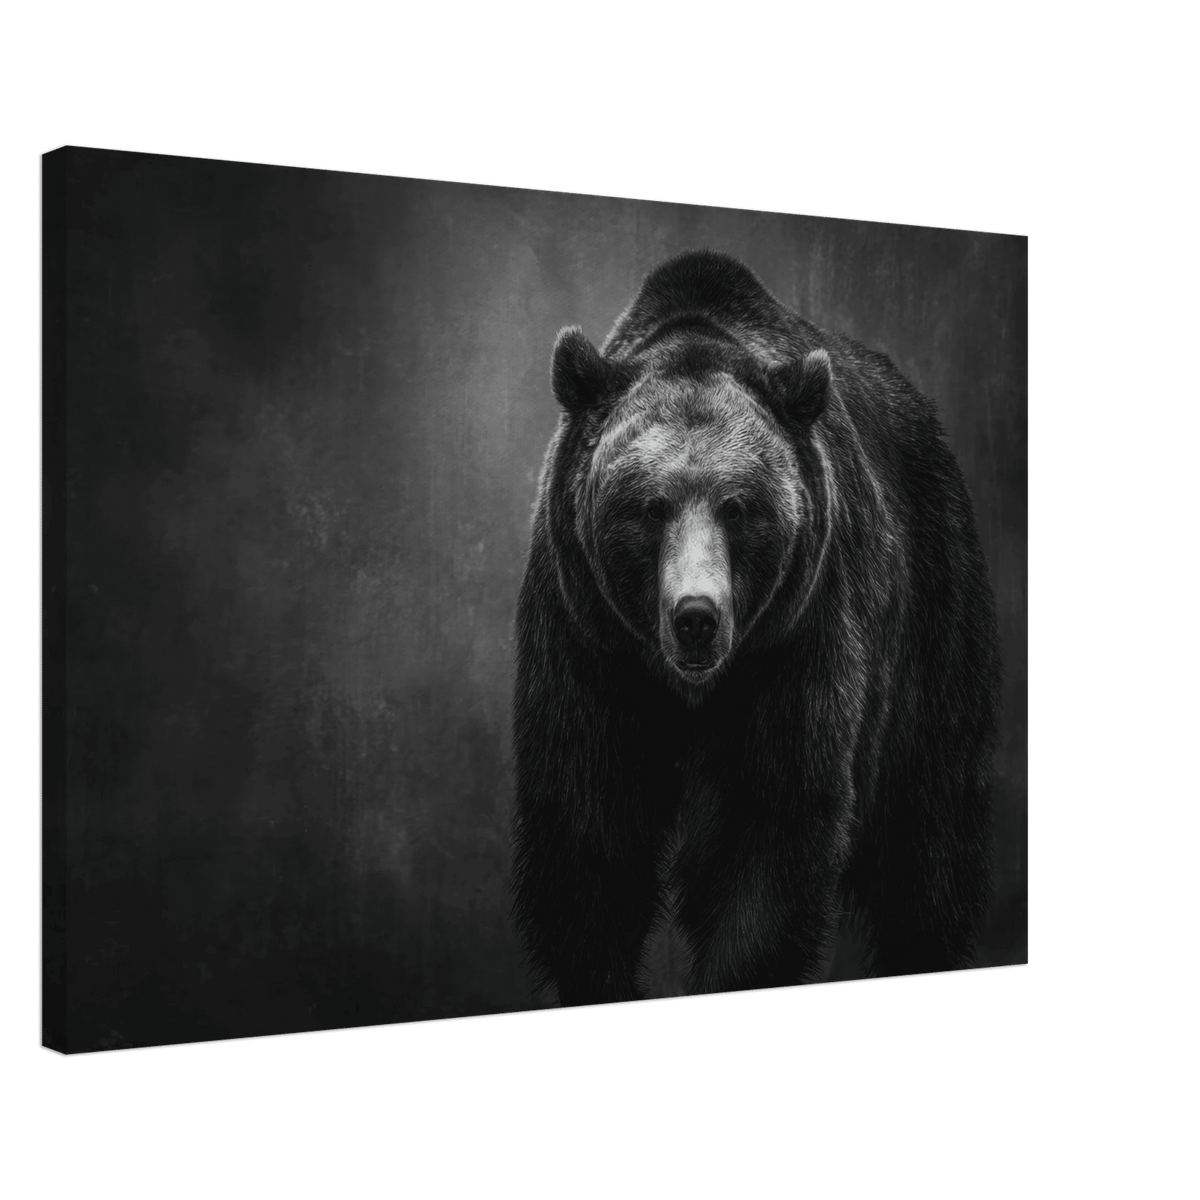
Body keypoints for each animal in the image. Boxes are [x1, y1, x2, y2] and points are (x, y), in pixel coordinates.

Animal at [511, 250, 1000, 1008]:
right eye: (649, 507)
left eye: (738, 506)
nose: (696, 619)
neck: (691, 689)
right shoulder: (586, 639)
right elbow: (588, 827)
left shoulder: (798, 637)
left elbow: (771, 830)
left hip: (934, 614)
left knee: (930, 839)